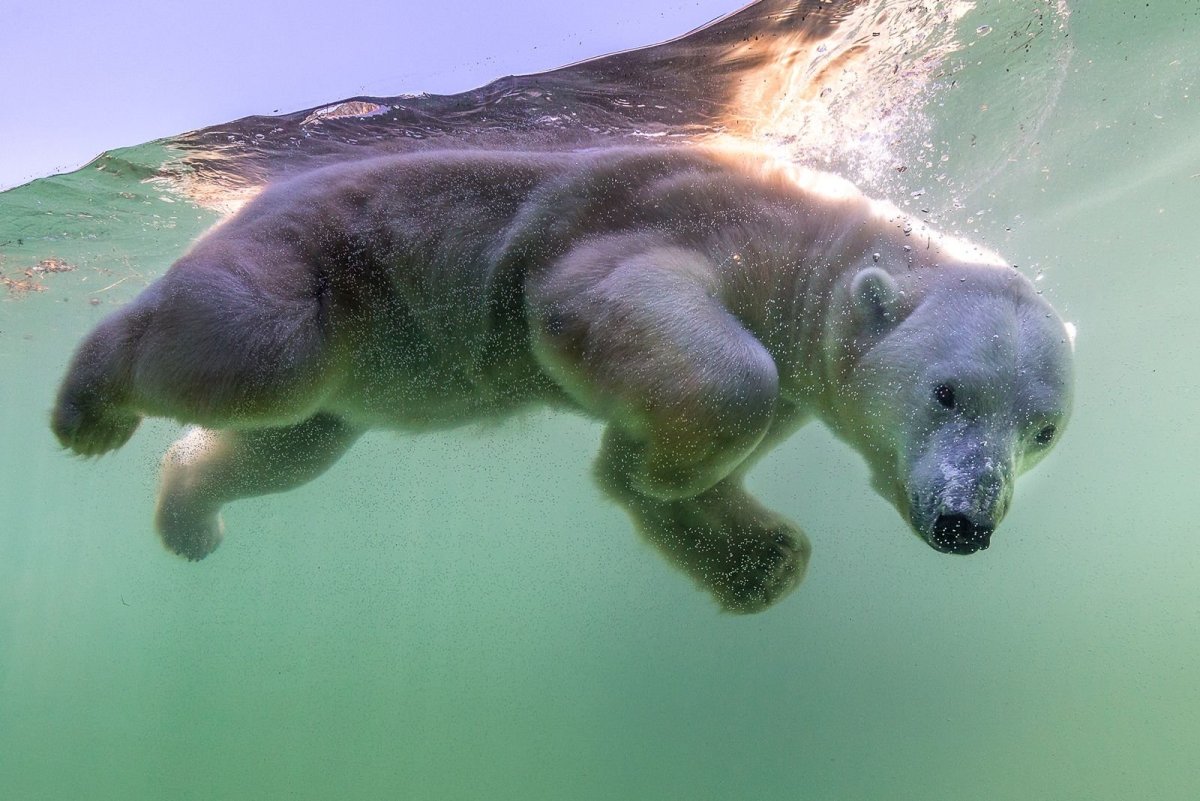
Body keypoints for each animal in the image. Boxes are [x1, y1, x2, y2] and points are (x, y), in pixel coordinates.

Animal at [51, 146, 1075, 613]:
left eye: (1044, 430)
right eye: (948, 391)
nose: (966, 521)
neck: (809, 243)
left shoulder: (799, 365)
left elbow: (638, 462)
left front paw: (756, 556)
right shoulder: (683, 219)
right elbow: (616, 306)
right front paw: (676, 477)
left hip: (366, 350)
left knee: (290, 443)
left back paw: (188, 515)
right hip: (332, 260)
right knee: (253, 353)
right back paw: (88, 404)